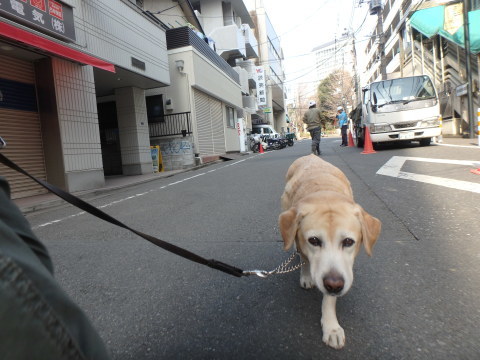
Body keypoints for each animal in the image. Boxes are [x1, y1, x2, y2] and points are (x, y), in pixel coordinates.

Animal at [280, 155, 380, 348]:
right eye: (314, 240)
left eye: (348, 242)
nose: (334, 285)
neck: (325, 192)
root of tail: (310, 155)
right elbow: (305, 259)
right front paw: (306, 276)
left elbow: (329, 299)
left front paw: (331, 327)